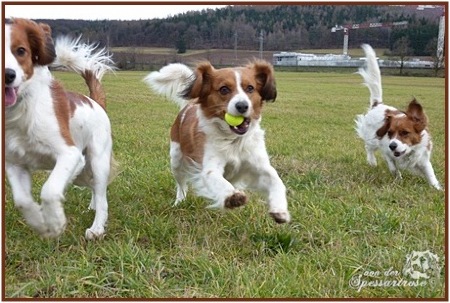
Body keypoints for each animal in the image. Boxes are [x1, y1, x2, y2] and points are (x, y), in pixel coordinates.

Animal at [5, 18, 117, 240]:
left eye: (21, 50)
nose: (7, 75)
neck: (23, 110)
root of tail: (95, 102)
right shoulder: (14, 163)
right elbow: (22, 201)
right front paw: (40, 223)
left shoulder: (69, 154)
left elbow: (49, 190)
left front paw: (55, 222)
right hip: (82, 171)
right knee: (93, 188)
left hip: (97, 160)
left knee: (102, 195)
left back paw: (97, 228)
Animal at [145, 61, 292, 223]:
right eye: (224, 89)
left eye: (250, 88)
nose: (242, 106)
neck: (233, 140)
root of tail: (188, 106)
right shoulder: (210, 168)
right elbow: (219, 182)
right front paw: (232, 196)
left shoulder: (260, 165)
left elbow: (277, 182)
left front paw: (280, 209)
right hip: (176, 159)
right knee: (181, 184)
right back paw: (179, 201)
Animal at [354, 43, 442, 190]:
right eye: (389, 133)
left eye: (405, 133)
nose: (392, 145)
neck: (407, 152)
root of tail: (378, 104)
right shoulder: (387, 152)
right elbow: (393, 168)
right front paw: (399, 179)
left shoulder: (423, 159)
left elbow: (431, 174)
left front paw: (437, 188)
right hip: (372, 139)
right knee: (368, 148)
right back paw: (372, 161)